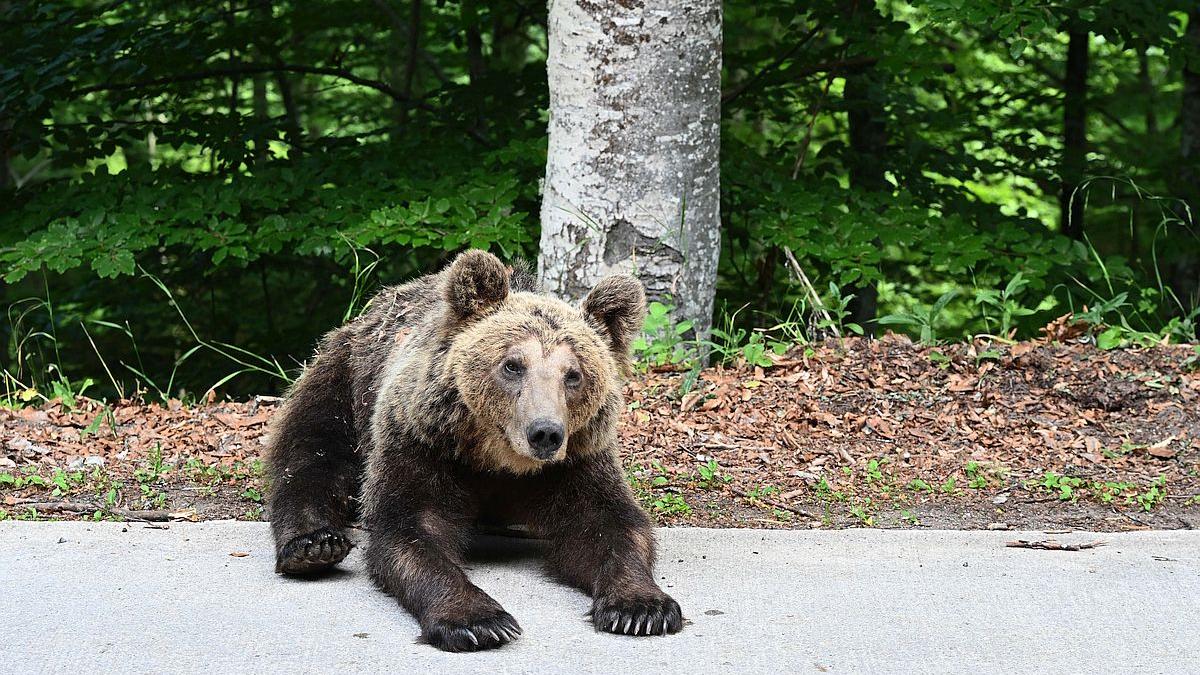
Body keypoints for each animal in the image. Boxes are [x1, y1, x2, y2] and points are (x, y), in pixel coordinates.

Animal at [266, 249, 681, 648]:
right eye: (513, 364)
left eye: (573, 374)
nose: (545, 433)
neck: (499, 459)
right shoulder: (421, 444)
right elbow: (412, 529)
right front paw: (479, 621)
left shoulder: (576, 461)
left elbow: (608, 525)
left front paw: (641, 608)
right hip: (344, 379)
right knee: (312, 451)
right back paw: (314, 545)